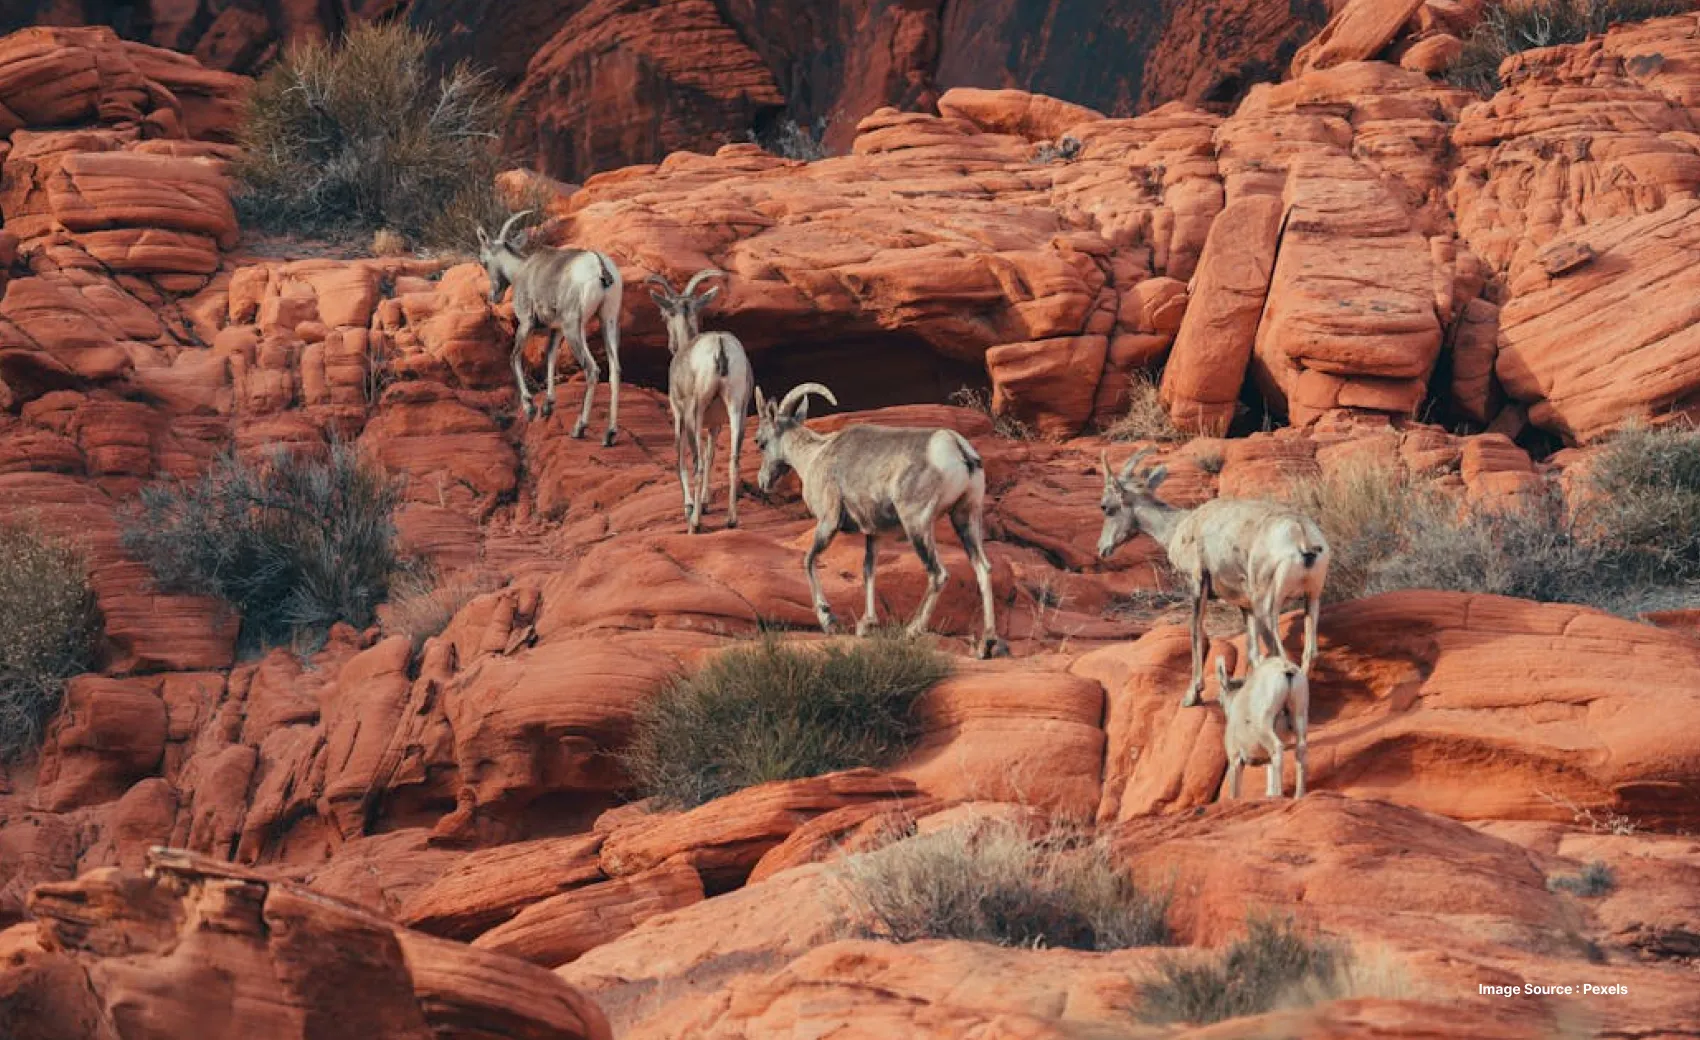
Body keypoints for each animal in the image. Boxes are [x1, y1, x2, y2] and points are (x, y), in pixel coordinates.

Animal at [477, 210, 624, 445]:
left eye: (483, 262)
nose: (494, 296)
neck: (523, 270)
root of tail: (600, 266)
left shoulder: (526, 323)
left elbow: (514, 357)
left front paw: (530, 408)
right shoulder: (557, 329)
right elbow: (550, 357)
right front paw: (547, 406)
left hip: (575, 328)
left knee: (592, 369)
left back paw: (579, 428)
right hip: (608, 321)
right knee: (615, 370)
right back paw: (609, 434)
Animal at [646, 269, 754, 533]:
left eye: (664, 314)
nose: (671, 345)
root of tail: (720, 344)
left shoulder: (679, 415)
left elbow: (682, 459)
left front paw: (690, 507)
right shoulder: (715, 424)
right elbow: (711, 454)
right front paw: (704, 503)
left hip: (695, 412)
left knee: (696, 463)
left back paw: (694, 524)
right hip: (738, 410)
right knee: (733, 459)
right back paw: (731, 519)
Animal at [753, 382, 1008, 659]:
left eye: (760, 442)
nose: (763, 482)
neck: (815, 456)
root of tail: (957, 448)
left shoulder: (828, 522)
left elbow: (809, 560)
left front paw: (827, 619)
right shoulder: (873, 533)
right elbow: (868, 570)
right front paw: (867, 624)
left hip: (916, 523)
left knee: (938, 573)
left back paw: (911, 632)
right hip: (966, 517)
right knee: (983, 568)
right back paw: (987, 644)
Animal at [1098, 447, 1329, 707]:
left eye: (1105, 507)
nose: (1102, 549)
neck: (1178, 526)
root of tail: (1301, 535)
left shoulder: (1197, 584)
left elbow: (1196, 631)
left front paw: (1192, 695)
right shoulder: (1245, 605)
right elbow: (1252, 651)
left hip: (1267, 607)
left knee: (1279, 655)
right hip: (1312, 597)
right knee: (1309, 652)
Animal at [1215, 652, 1308, 799]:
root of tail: (1285, 668)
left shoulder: (1235, 759)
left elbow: (1235, 793)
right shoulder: (1267, 760)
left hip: (1264, 725)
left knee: (1277, 748)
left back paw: (1278, 795)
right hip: (1299, 718)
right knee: (1300, 751)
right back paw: (1298, 796)